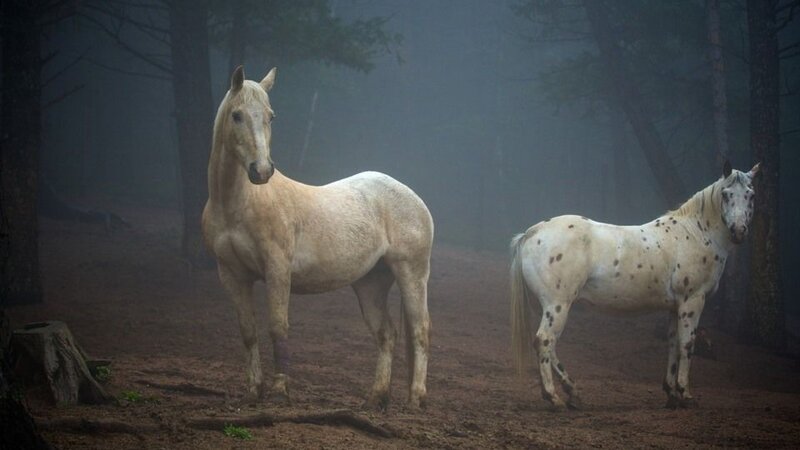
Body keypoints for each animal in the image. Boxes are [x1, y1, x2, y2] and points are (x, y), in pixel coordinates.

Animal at [202, 66, 433, 410]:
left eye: (271, 116)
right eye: (237, 115)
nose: (262, 171)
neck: (238, 204)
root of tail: (414, 198)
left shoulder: (277, 270)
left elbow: (277, 327)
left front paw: (279, 391)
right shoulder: (232, 274)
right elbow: (248, 332)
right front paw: (253, 391)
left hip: (412, 274)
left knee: (419, 331)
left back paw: (415, 399)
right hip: (371, 283)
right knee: (387, 334)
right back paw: (375, 398)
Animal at [510, 162, 759, 410]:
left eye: (750, 195)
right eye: (726, 194)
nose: (739, 230)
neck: (695, 233)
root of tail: (532, 232)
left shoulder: (675, 306)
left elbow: (673, 344)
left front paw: (671, 394)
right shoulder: (692, 301)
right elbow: (687, 344)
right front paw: (685, 394)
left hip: (549, 307)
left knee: (549, 347)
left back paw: (573, 392)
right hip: (557, 304)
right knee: (544, 341)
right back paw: (553, 396)